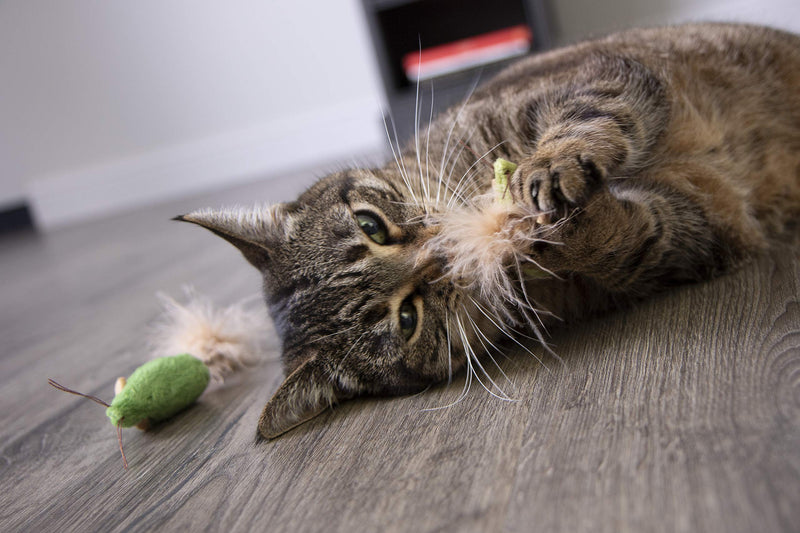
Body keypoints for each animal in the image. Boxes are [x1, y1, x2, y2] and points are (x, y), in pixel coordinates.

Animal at [177, 22, 800, 438]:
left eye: (371, 225)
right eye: (408, 319)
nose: (438, 255)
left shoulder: (598, 76)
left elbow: (585, 120)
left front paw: (544, 175)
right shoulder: (702, 227)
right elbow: (627, 242)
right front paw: (537, 236)